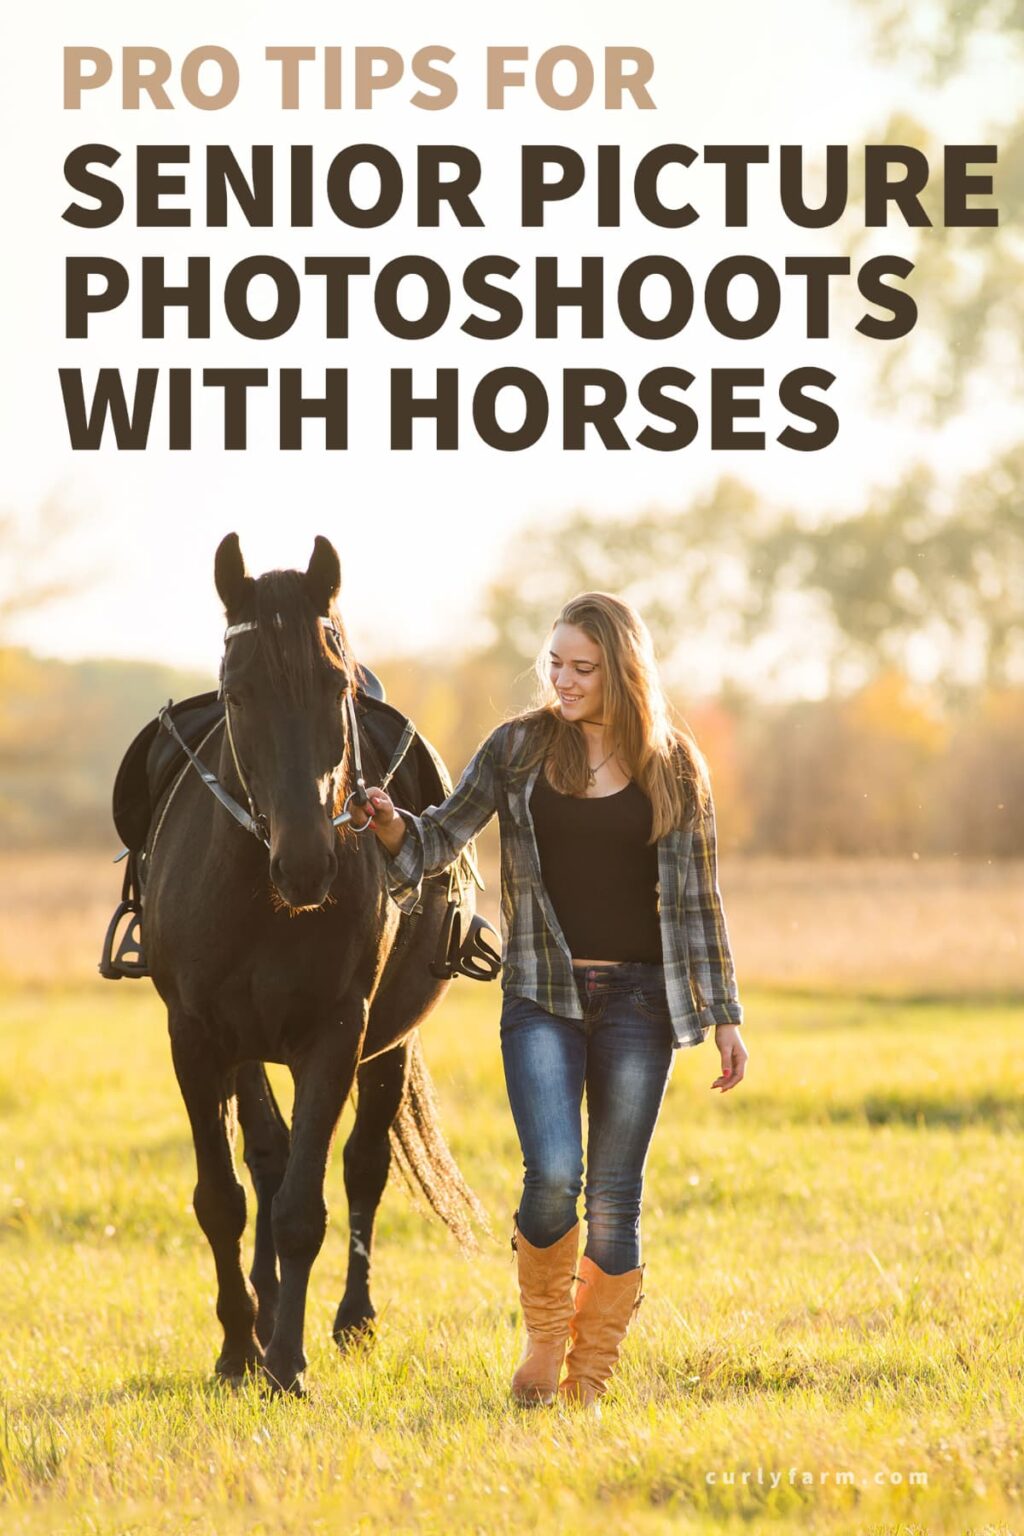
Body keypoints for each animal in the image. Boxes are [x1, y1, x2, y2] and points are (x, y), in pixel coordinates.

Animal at [142, 532, 485, 1395]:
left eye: (335, 687)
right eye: (237, 694)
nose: (305, 865)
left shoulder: (337, 1034)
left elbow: (305, 1208)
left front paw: (288, 1365)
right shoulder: (197, 1038)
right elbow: (224, 1198)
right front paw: (239, 1350)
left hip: (389, 1043)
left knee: (362, 1168)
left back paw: (351, 1321)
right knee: (267, 1161)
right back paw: (262, 1318)